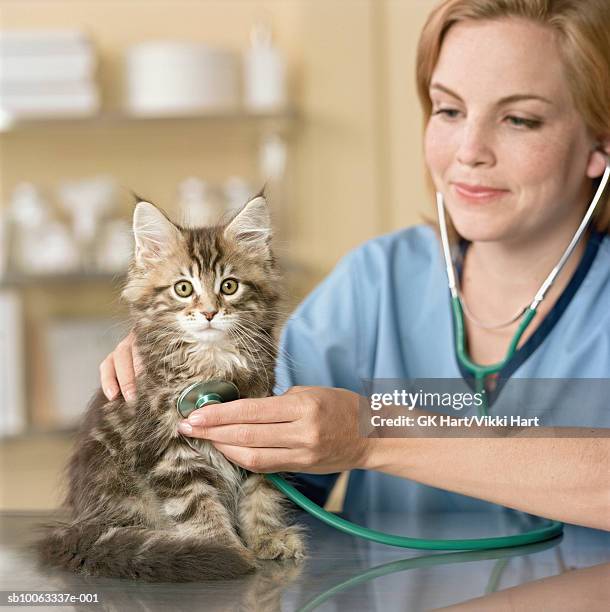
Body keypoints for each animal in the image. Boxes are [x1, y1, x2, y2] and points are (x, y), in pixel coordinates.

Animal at [34, 194, 304, 580]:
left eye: (229, 286)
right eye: (183, 288)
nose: (209, 313)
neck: (211, 359)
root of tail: (78, 527)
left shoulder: (256, 424)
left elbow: (260, 493)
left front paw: (266, 538)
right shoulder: (168, 448)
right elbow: (198, 505)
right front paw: (223, 548)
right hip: (121, 489)